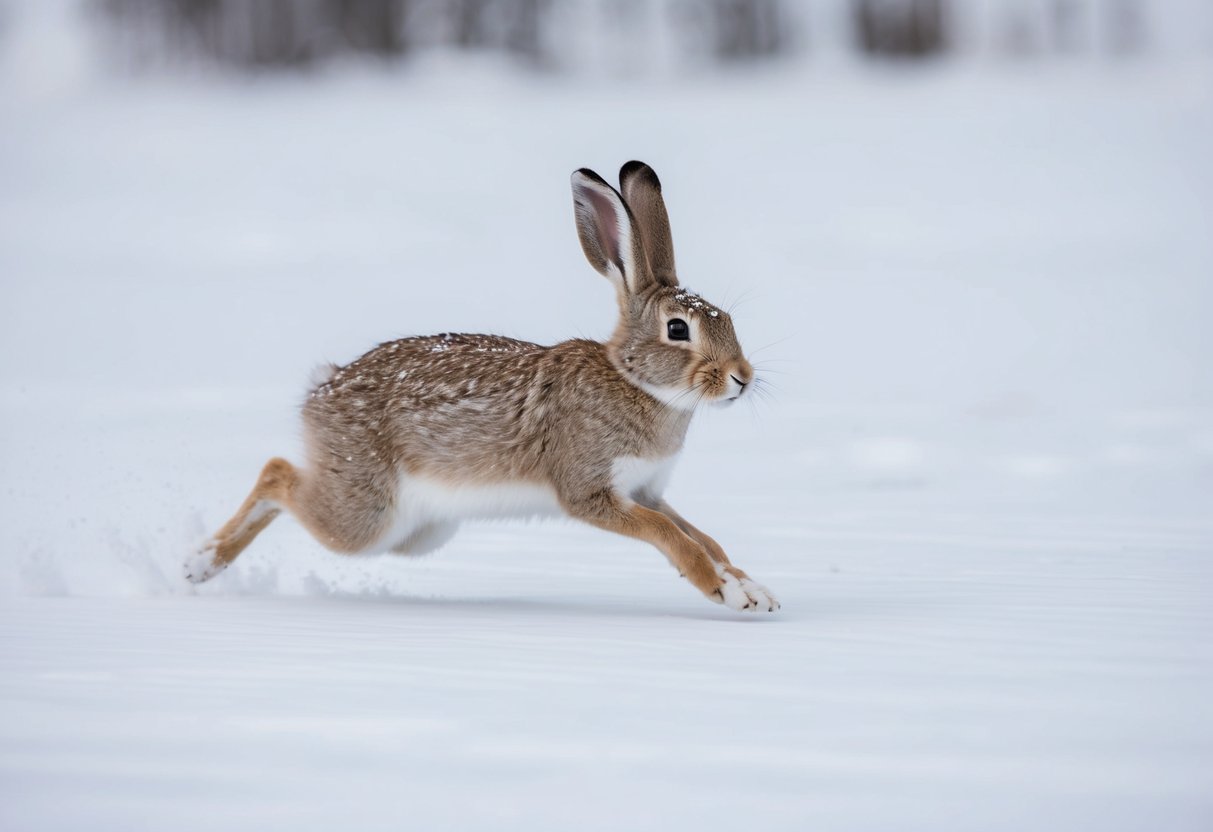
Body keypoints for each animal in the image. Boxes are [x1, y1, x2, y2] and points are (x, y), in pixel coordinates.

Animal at [185, 161, 778, 612]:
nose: (742, 378)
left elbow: (701, 534)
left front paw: (753, 587)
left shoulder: (646, 489)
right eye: (678, 330)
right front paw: (727, 592)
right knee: (278, 476)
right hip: (366, 515)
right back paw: (200, 564)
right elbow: (672, 537)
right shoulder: (590, 489)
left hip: (416, 533)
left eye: (728, 319)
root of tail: (322, 390)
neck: (633, 380)